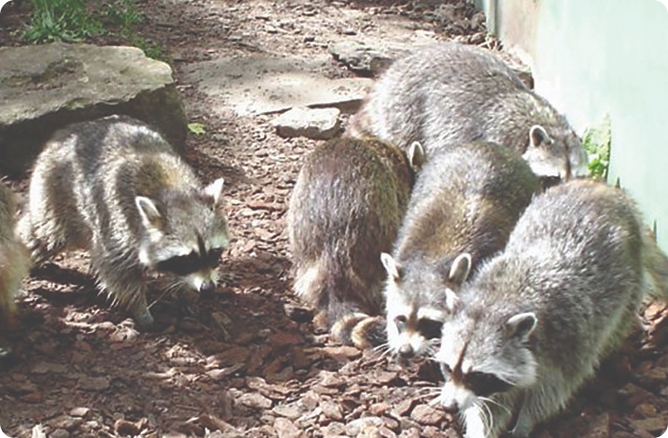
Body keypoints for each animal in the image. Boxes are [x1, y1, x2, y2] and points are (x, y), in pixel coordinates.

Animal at [18, 115, 229, 329]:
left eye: (214, 253)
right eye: (188, 259)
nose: (208, 287)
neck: (173, 190)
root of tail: (68, 131)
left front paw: (184, 293)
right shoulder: (118, 225)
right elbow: (118, 271)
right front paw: (141, 310)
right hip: (55, 191)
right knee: (45, 234)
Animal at [381, 141, 540, 361]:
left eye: (428, 321)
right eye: (401, 319)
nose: (406, 351)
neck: (429, 259)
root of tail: (487, 145)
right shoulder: (405, 240)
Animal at [436, 179, 668, 438]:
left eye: (476, 375)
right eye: (448, 367)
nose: (448, 406)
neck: (496, 301)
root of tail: (606, 189)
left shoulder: (566, 344)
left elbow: (550, 393)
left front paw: (524, 423)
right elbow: (493, 404)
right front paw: (480, 427)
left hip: (629, 275)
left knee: (617, 322)